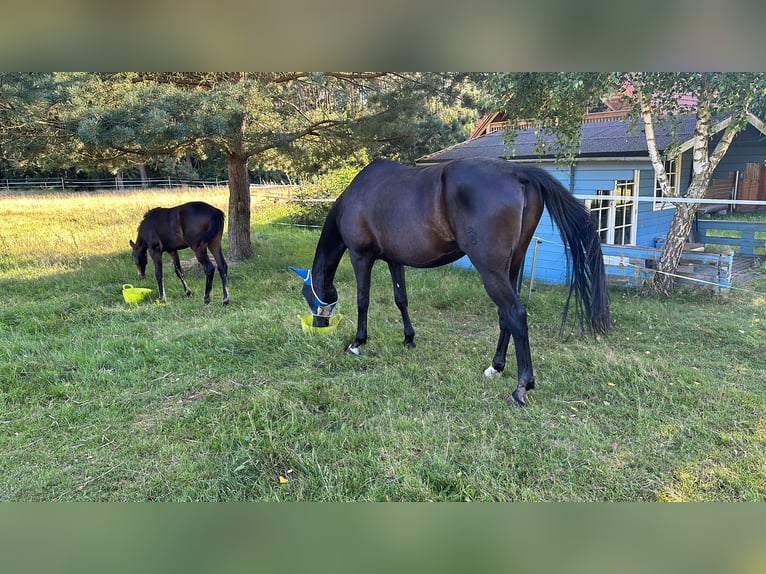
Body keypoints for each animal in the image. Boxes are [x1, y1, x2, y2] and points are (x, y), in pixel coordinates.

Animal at [292, 159, 616, 410]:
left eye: (308, 294)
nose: (318, 326)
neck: (357, 195)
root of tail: (518, 172)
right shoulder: (395, 260)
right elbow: (401, 299)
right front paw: (409, 339)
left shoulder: (361, 257)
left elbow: (363, 300)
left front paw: (358, 343)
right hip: (510, 268)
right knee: (505, 316)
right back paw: (496, 367)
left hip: (490, 270)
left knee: (515, 314)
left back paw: (521, 388)